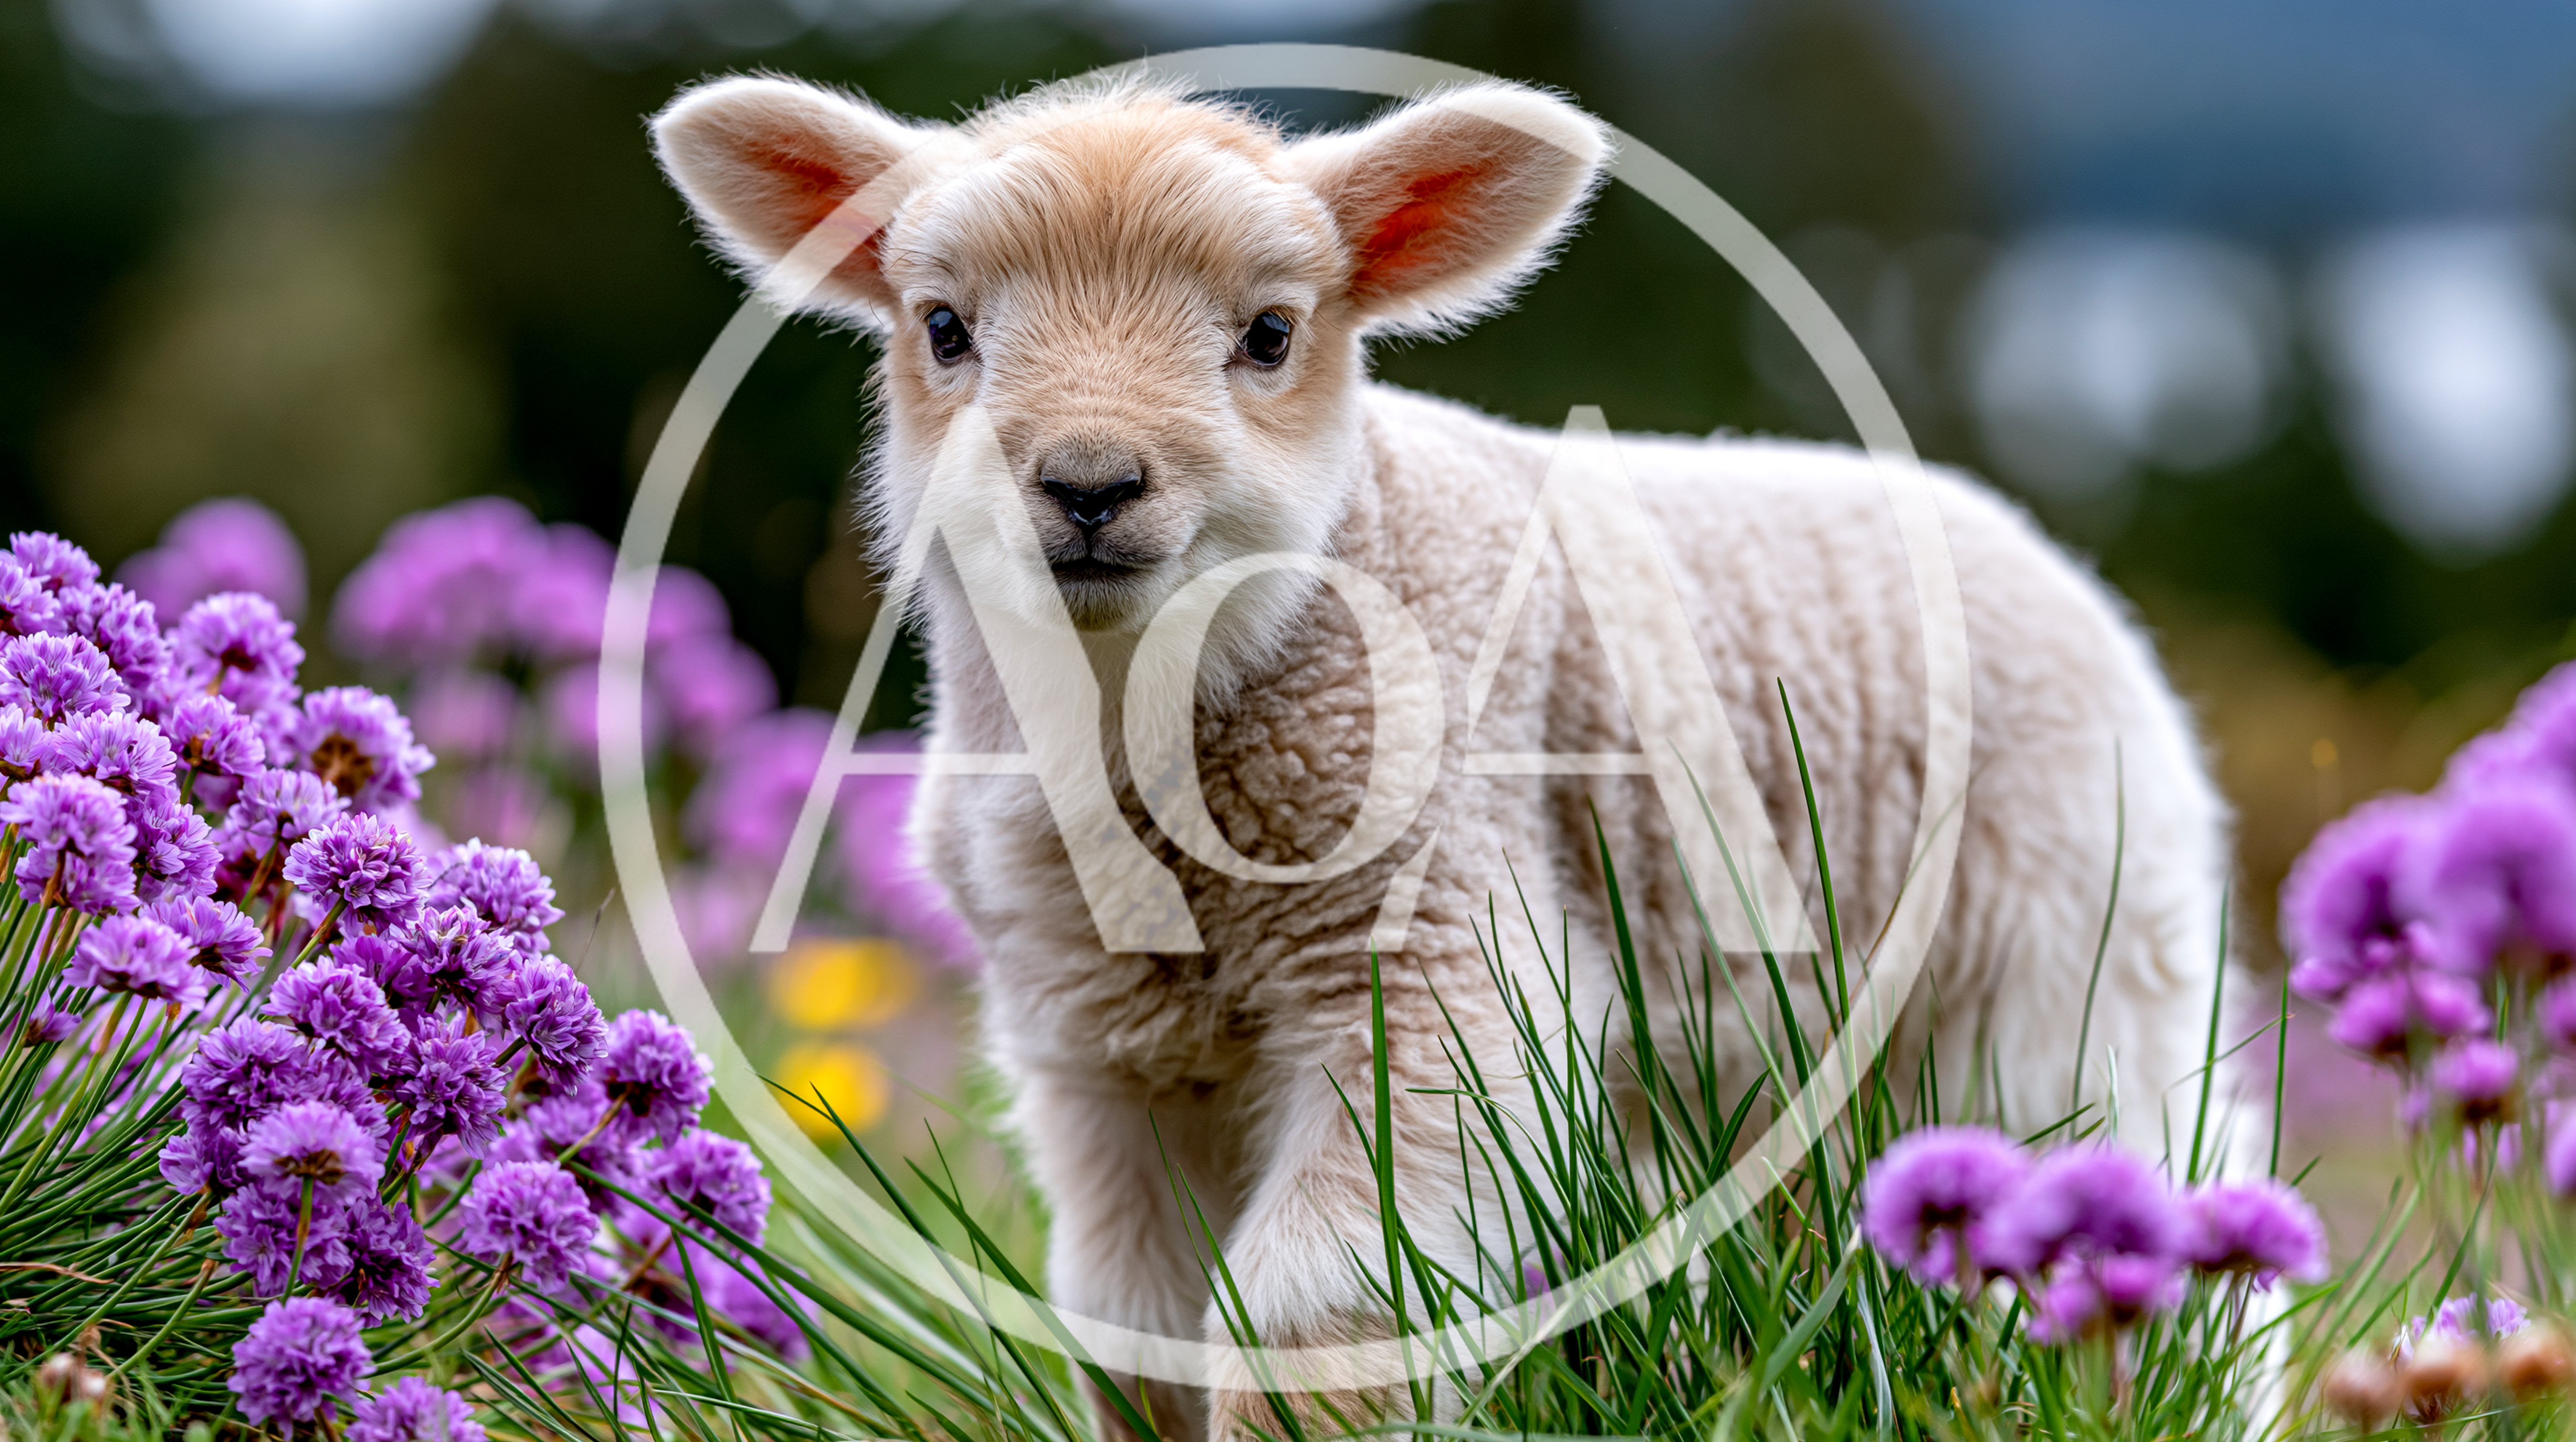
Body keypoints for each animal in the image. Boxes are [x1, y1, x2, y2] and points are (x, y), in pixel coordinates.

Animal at [653, 74, 2241, 1441]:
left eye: (1270, 336)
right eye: (941, 328)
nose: (1090, 486)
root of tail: (2038, 549)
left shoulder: (1431, 970)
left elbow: (1308, 1312)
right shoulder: (1098, 1045)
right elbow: (1135, 1328)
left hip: (2075, 966)